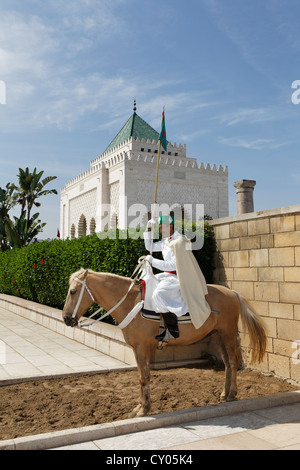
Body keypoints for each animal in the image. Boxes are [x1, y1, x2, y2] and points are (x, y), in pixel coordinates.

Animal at [62, 268, 266, 418]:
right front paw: (140, 407)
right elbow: (141, 377)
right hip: (217, 336)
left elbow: (144, 378)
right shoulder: (137, 349)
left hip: (228, 334)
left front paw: (144, 410)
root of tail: (231, 292)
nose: (66, 319)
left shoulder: (143, 348)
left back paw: (232, 394)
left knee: (232, 361)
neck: (131, 303)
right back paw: (224, 394)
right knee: (227, 364)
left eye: (73, 291)